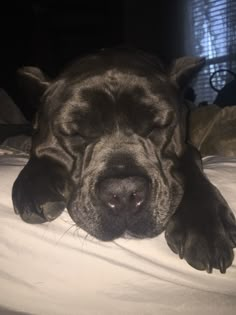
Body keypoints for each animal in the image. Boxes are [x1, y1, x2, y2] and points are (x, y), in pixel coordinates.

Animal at [11, 48, 236, 274]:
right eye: (75, 133)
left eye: (158, 125)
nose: (124, 193)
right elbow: (38, 149)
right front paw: (35, 184)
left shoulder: (186, 147)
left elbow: (189, 166)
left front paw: (205, 225)